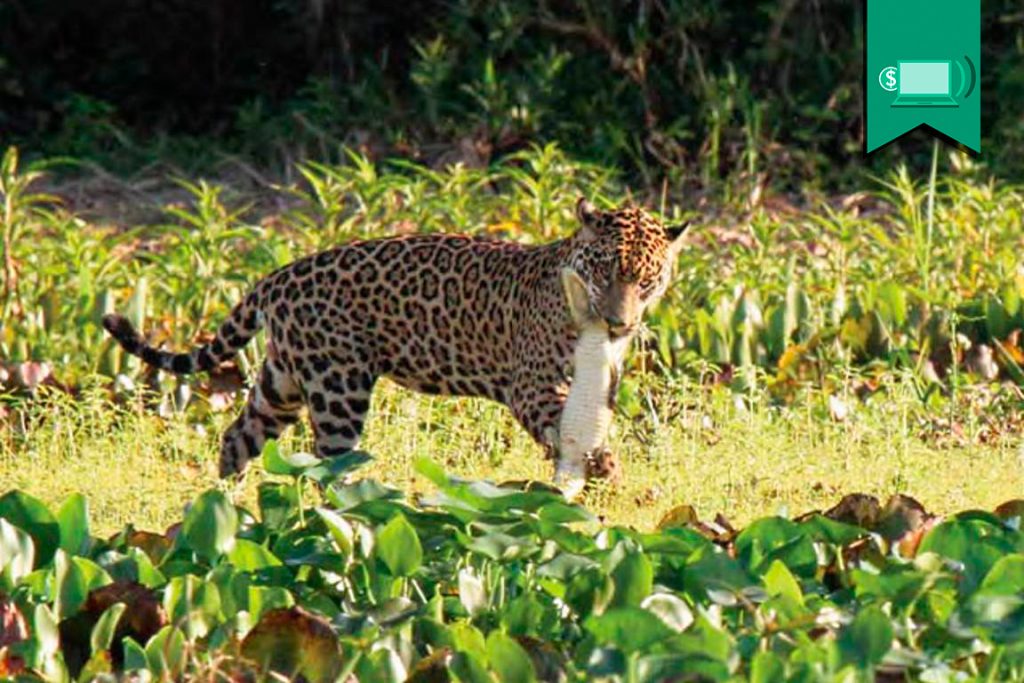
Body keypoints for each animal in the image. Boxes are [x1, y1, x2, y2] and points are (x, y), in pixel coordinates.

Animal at [102, 198, 689, 489]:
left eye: (647, 280)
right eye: (606, 270)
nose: (618, 324)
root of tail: (280, 275)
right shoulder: (533, 386)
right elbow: (567, 431)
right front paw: (603, 473)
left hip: (283, 381)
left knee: (237, 436)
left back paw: (225, 508)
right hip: (337, 388)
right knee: (328, 463)